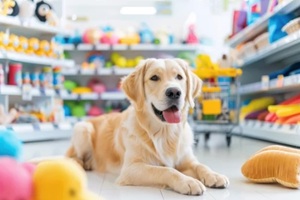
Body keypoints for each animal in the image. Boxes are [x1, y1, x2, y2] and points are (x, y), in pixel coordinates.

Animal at [66, 58, 230, 195]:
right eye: (154, 78)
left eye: (179, 77)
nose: (174, 92)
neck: (165, 133)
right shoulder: (130, 169)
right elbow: (166, 170)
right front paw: (188, 182)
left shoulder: (186, 159)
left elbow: (200, 165)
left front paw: (214, 175)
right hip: (83, 129)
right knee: (71, 156)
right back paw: (79, 164)